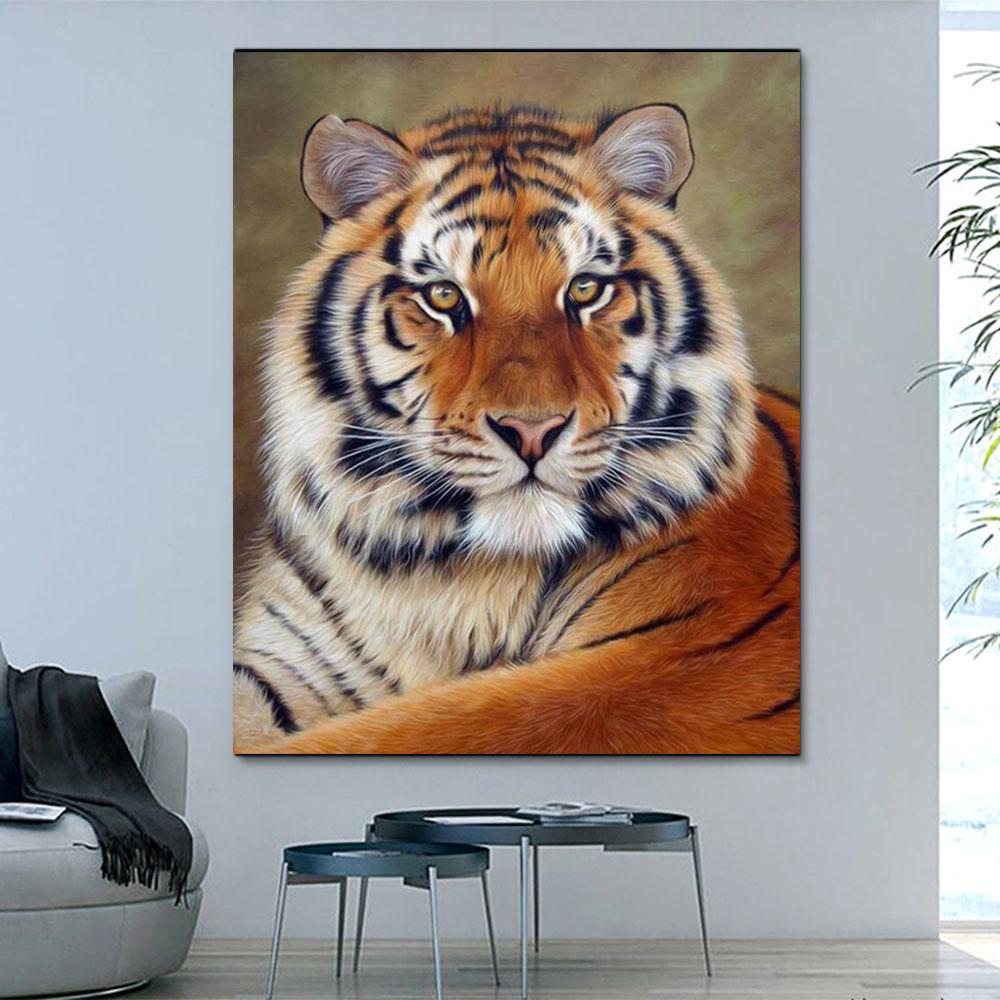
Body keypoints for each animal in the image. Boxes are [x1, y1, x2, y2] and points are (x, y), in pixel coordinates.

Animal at [234, 102, 800, 755]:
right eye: (443, 295)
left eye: (586, 287)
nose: (532, 431)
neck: (442, 583)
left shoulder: (672, 665)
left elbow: (429, 726)